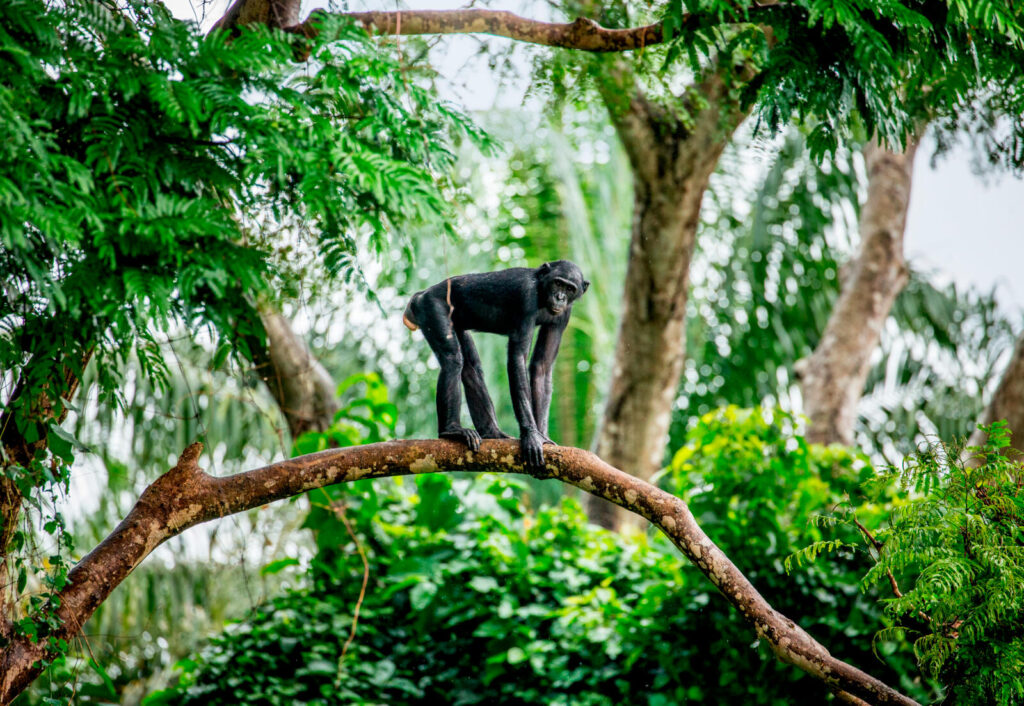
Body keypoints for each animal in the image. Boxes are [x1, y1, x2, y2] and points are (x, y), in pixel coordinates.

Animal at [403, 260, 589, 468]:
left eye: (570, 288)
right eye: (558, 283)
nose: (560, 297)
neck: (542, 293)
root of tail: (420, 295)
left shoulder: (564, 316)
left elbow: (542, 367)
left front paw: (543, 435)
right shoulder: (526, 297)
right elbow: (517, 359)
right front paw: (532, 435)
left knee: (471, 369)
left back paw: (492, 433)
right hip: (431, 308)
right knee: (453, 360)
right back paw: (451, 430)